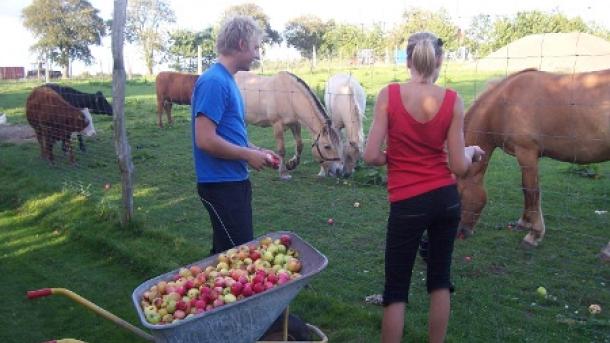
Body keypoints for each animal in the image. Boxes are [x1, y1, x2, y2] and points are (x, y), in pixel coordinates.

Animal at [456, 68, 608, 249]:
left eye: (459, 195)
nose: (460, 233)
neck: (504, 105)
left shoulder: (526, 153)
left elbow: (531, 190)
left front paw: (534, 234)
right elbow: (529, 190)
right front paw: (524, 223)